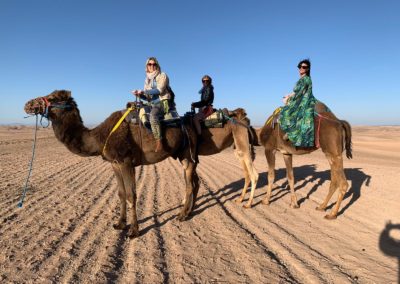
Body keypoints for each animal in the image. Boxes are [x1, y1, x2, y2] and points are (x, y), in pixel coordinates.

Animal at [23, 90, 198, 237]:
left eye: (52, 98)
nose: (28, 104)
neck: (99, 137)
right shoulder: (115, 163)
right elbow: (121, 193)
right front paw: (120, 224)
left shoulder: (126, 161)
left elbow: (131, 195)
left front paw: (134, 231)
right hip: (184, 155)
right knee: (195, 182)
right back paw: (190, 211)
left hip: (187, 154)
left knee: (190, 184)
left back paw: (182, 215)